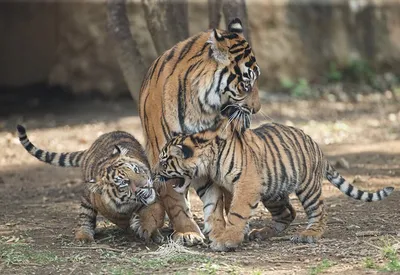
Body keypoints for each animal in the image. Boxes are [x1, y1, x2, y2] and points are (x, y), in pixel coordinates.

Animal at [108, 2, 260, 245]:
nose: (257, 109)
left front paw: (218, 230)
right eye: (246, 84)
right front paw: (188, 232)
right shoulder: (164, 153)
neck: (204, 108)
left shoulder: (205, 155)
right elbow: (174, 198)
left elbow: (214, 198)